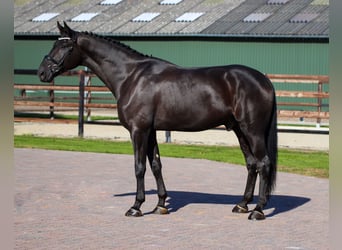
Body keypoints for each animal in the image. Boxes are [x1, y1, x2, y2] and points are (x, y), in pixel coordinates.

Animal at [38, 22, 278, 220]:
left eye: (65, 46)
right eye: (54, 44)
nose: (42, 72)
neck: (131, 76)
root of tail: (263, 80)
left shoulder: (138, 130)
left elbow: (139, 167)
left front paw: (136, 207)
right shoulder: (151, 131)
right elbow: (156, 165)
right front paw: (161, 204)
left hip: (252, 131)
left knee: (263, 163)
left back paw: (258, 210)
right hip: (240, 130)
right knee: (251, 164)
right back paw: (242, 205)